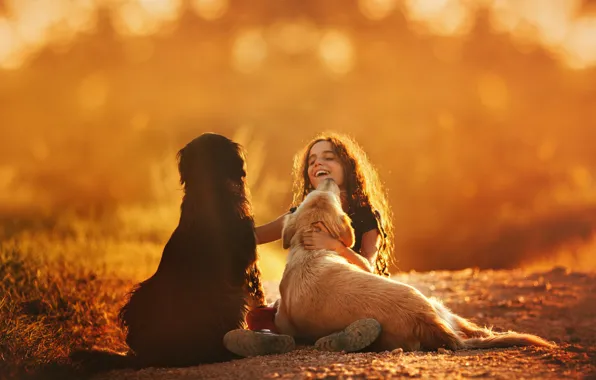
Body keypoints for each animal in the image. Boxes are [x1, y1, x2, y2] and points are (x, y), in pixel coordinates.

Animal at [274, 180, 556, 352]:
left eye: (327, 194)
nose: (329, 179)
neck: (312, 246)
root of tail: (424, 316)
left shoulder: (282, 319)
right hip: (438, 305)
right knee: (476, 330)